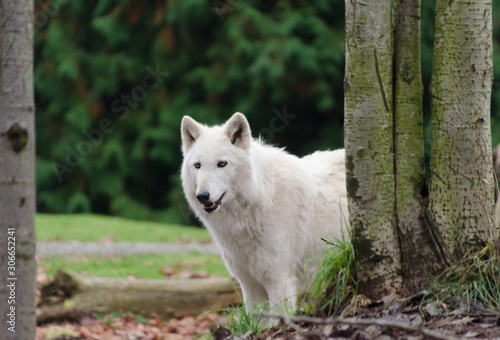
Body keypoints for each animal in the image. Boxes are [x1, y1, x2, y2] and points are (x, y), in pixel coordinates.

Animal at [180, 112, 348, 316]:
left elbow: (278, 319)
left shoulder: (280, 281)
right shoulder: (249, 284)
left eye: (222, 164)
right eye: (197, 165)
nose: (202, 196)